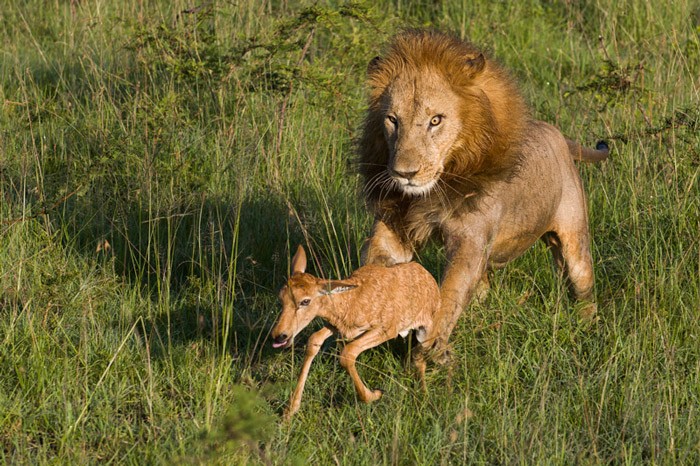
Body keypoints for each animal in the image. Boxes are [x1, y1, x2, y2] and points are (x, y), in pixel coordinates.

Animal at [272, 246, 440, 416]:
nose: (279, 335)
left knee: (420, 360)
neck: (350, 301)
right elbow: (314, 340)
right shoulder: (337, 327)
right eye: (281, 298)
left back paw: (424, 397)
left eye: (305, 301)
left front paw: (375, 394)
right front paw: (290, 410)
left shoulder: (387, 329)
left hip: (426, 332)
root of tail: (428, 276)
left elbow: (348, 353)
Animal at [356, 29, 608, 362]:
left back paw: (587, 328)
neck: (436, 185)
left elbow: (448, 296)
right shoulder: (395, 227)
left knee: (582, 286)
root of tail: (556, 132)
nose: (404, 173)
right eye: (392, 120)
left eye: (435, 120)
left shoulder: (470, 242)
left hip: (574, 243)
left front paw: (428, 352)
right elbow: (375, 265)